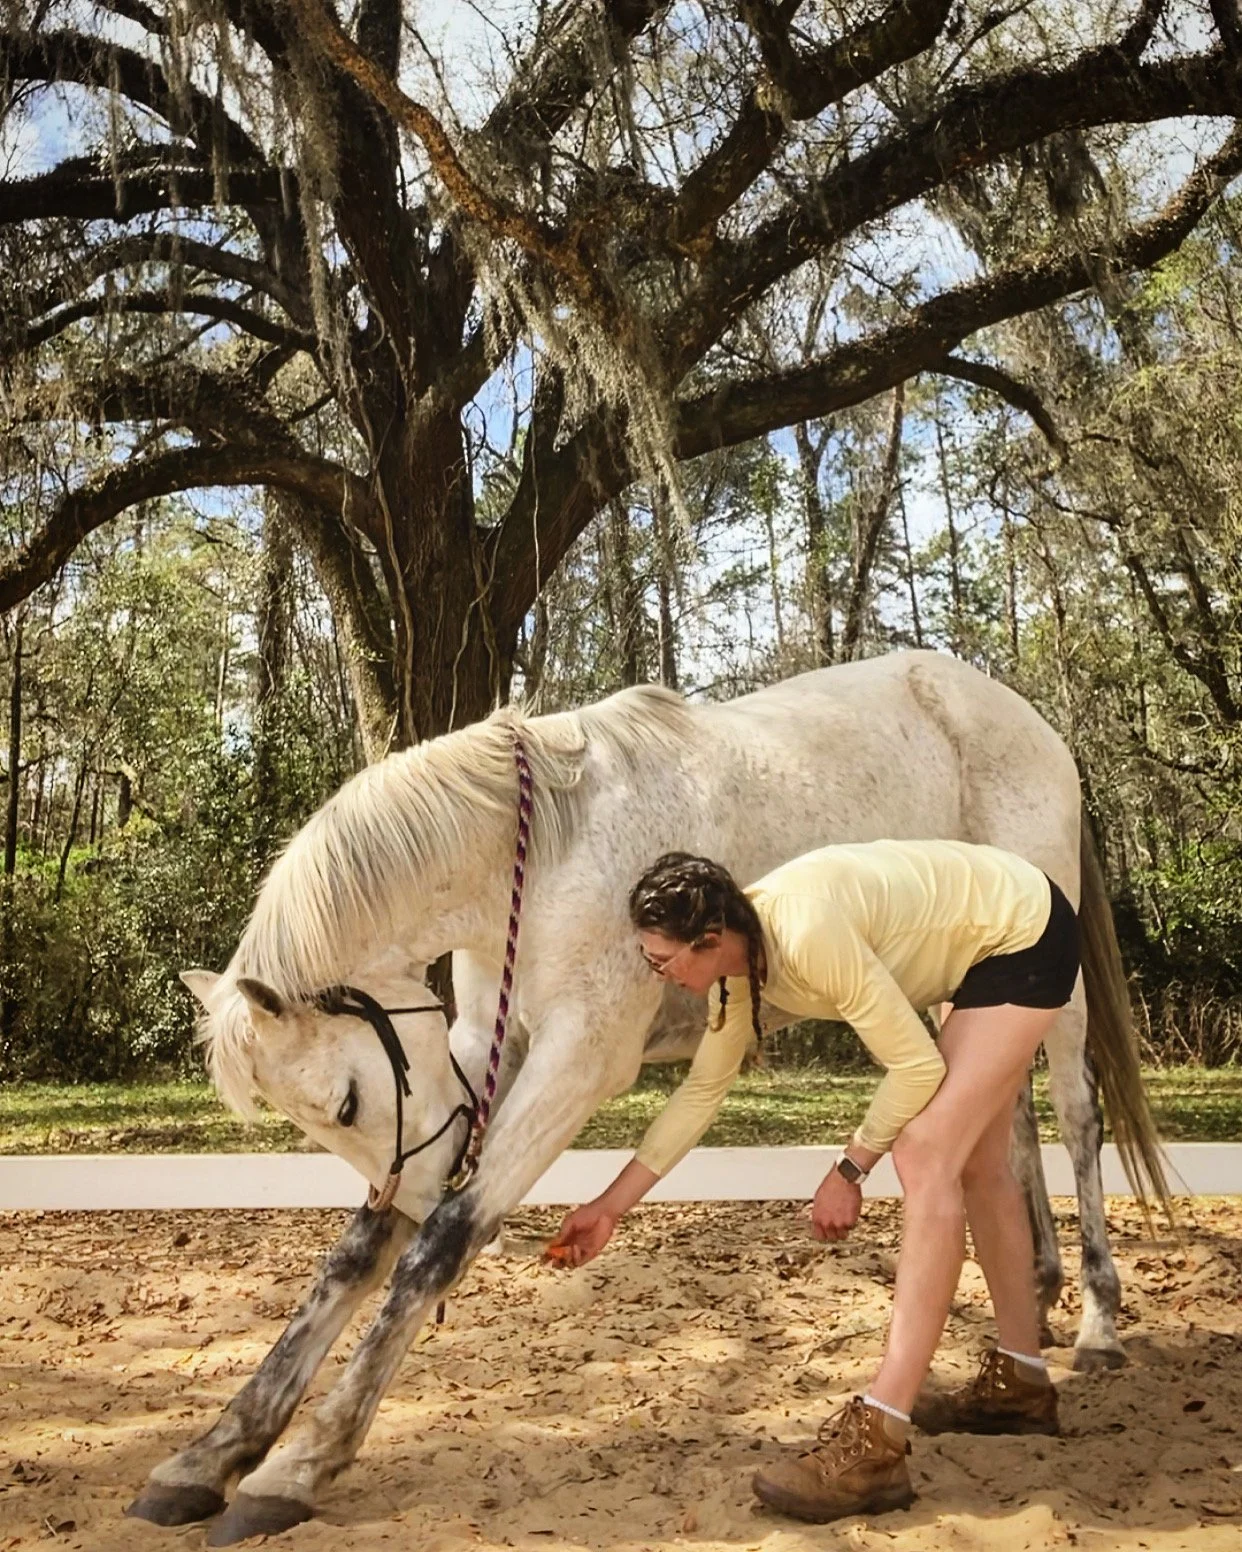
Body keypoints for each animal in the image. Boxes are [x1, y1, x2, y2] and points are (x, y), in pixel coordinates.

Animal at [127, 649, 1167, 1545]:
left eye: (343, 1103)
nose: (413, 1190)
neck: (547, 853)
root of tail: (1025, 720)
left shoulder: (579, 1062)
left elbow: (438, 1245)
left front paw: (296, 1467)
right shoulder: (483, 1052)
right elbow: (357, 1256)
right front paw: (209, 1457)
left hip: (1049, 987)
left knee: (1075, 1116)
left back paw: (1097, 1323)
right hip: (958, 991)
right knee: (1007, 1128)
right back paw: (1031, 1309)